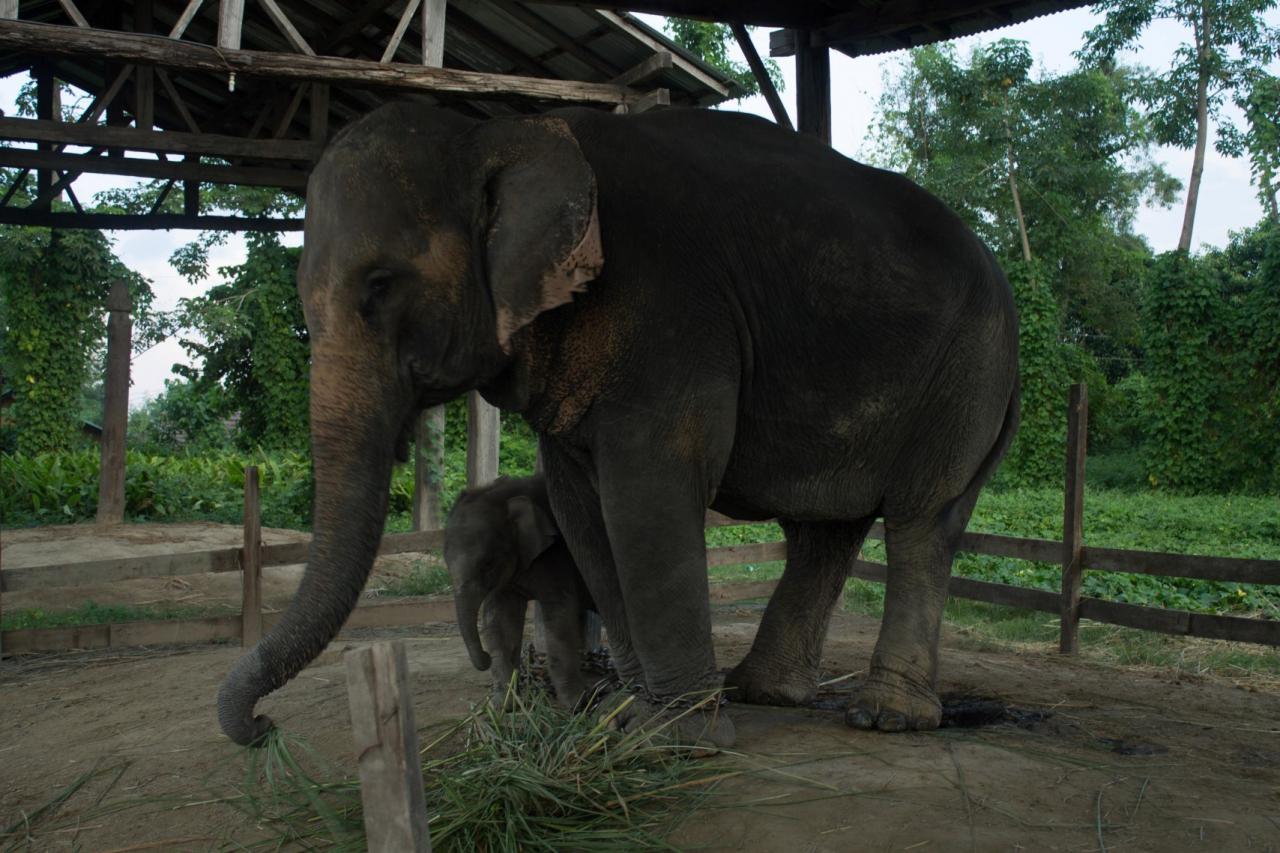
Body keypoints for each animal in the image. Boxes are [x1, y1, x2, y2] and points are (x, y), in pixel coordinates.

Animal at [442, 471, 596, 701]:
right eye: (446, 564)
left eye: (488, 564)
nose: (485, 657)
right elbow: (501, 620)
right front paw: (503, 705)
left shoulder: (556, 557)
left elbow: (559, 616)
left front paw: (576, 703)